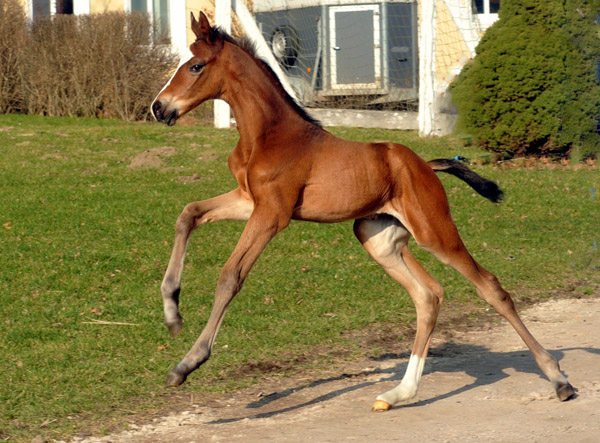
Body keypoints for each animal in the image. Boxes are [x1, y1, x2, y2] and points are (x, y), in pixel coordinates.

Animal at [152, 11, 576, 412]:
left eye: (195, 66)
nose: (159, 108)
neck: (268, 134)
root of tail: (426, 166)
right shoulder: (247, 201)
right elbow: (188, 214)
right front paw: (172, 313)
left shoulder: (272, 214)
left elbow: (230, 277)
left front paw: (187, 364)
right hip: (378, 237)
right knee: (428, 295)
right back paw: (398, 393)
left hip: (434, 231)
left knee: (489, 286)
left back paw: (559, 380)